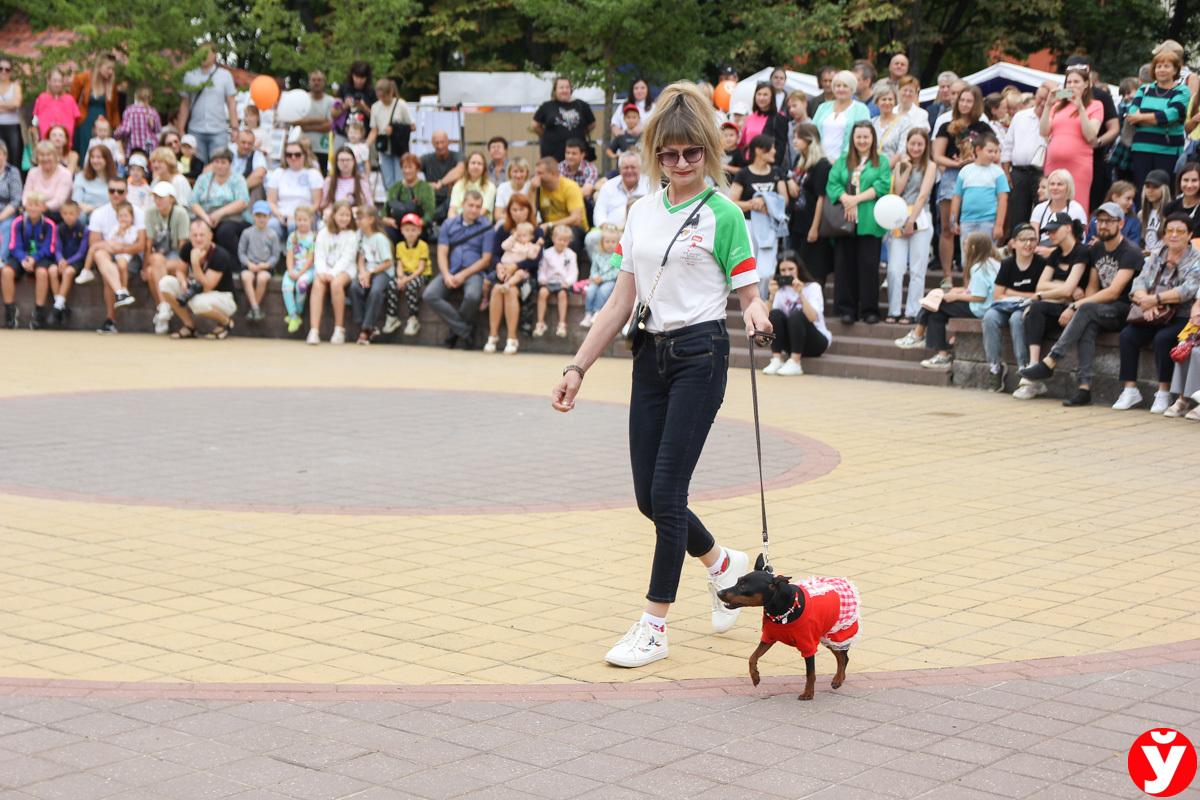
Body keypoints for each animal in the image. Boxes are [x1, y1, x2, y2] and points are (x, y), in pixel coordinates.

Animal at [715, 556, 859, 700]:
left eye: (743, 586)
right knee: (842, 656)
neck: (781, 608)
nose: (719, 592)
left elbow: (810, 673)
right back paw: (839, 679)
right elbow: (752, 657)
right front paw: (755, 676)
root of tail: (844, 582)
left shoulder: (808, 644)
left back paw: (838, 679)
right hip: (825, 635)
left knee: (843, 657)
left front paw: (808, 693)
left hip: (837, 633)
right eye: (738, 581)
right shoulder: (768, 637)